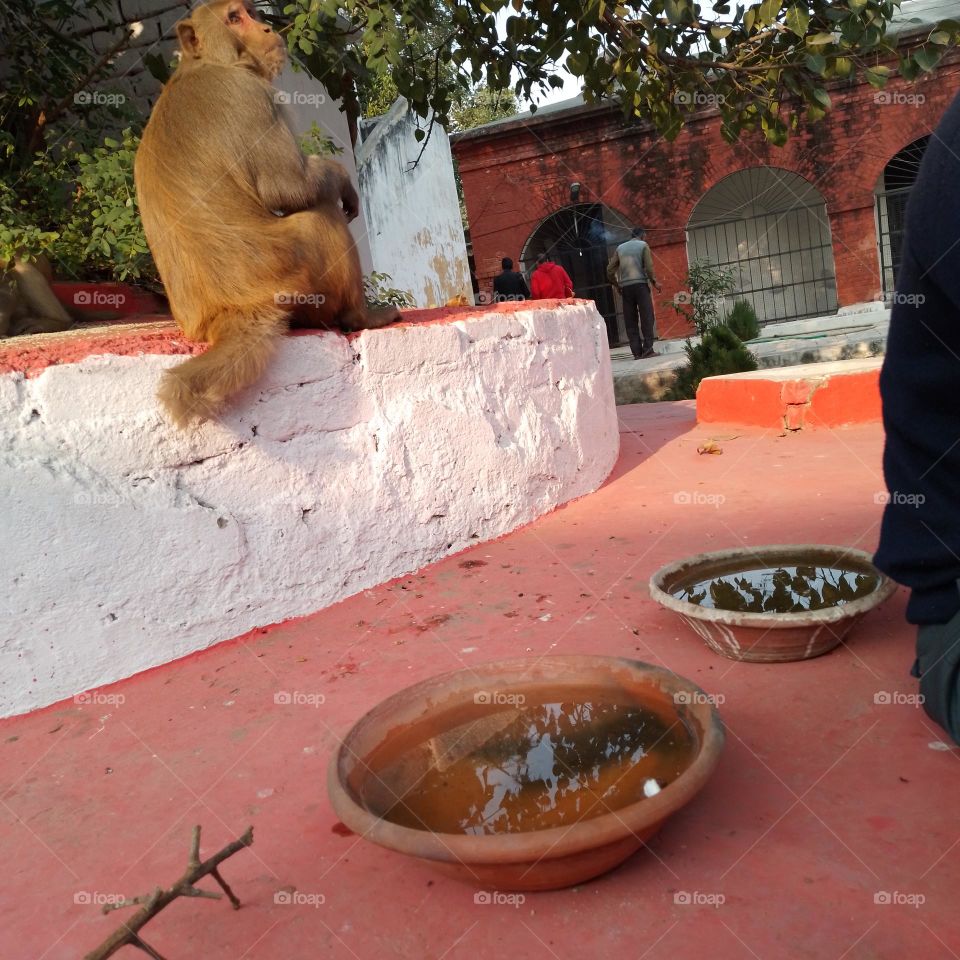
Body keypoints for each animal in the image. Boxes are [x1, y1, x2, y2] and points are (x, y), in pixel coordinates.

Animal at [134, 0, 401, 428]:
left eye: (249, 12)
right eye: (234, 18)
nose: (265, 29)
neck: (199, 64)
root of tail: (227, 311)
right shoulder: (249, 94)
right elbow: (288, 185)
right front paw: (342, 179)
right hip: (299, 280)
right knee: (320, 215)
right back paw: (360, 316)